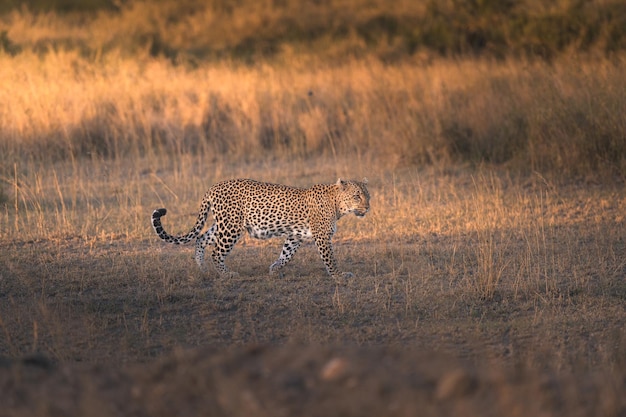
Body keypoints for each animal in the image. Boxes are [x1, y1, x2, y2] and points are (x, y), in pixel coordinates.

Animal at [149, 177, 368, 278]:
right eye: (357, 196)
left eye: (368, 195)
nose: (368, 207)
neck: (337, 204)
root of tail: (213, 187)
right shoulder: (322, 236)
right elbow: (330, 258)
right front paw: (339, 276)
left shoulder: (295, 236)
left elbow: (286, 254)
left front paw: (274, 269)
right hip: (231, 227)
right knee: (216, 252)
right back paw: (227, 274)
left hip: (223, 224)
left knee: (201, 239)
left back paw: (202, 268)